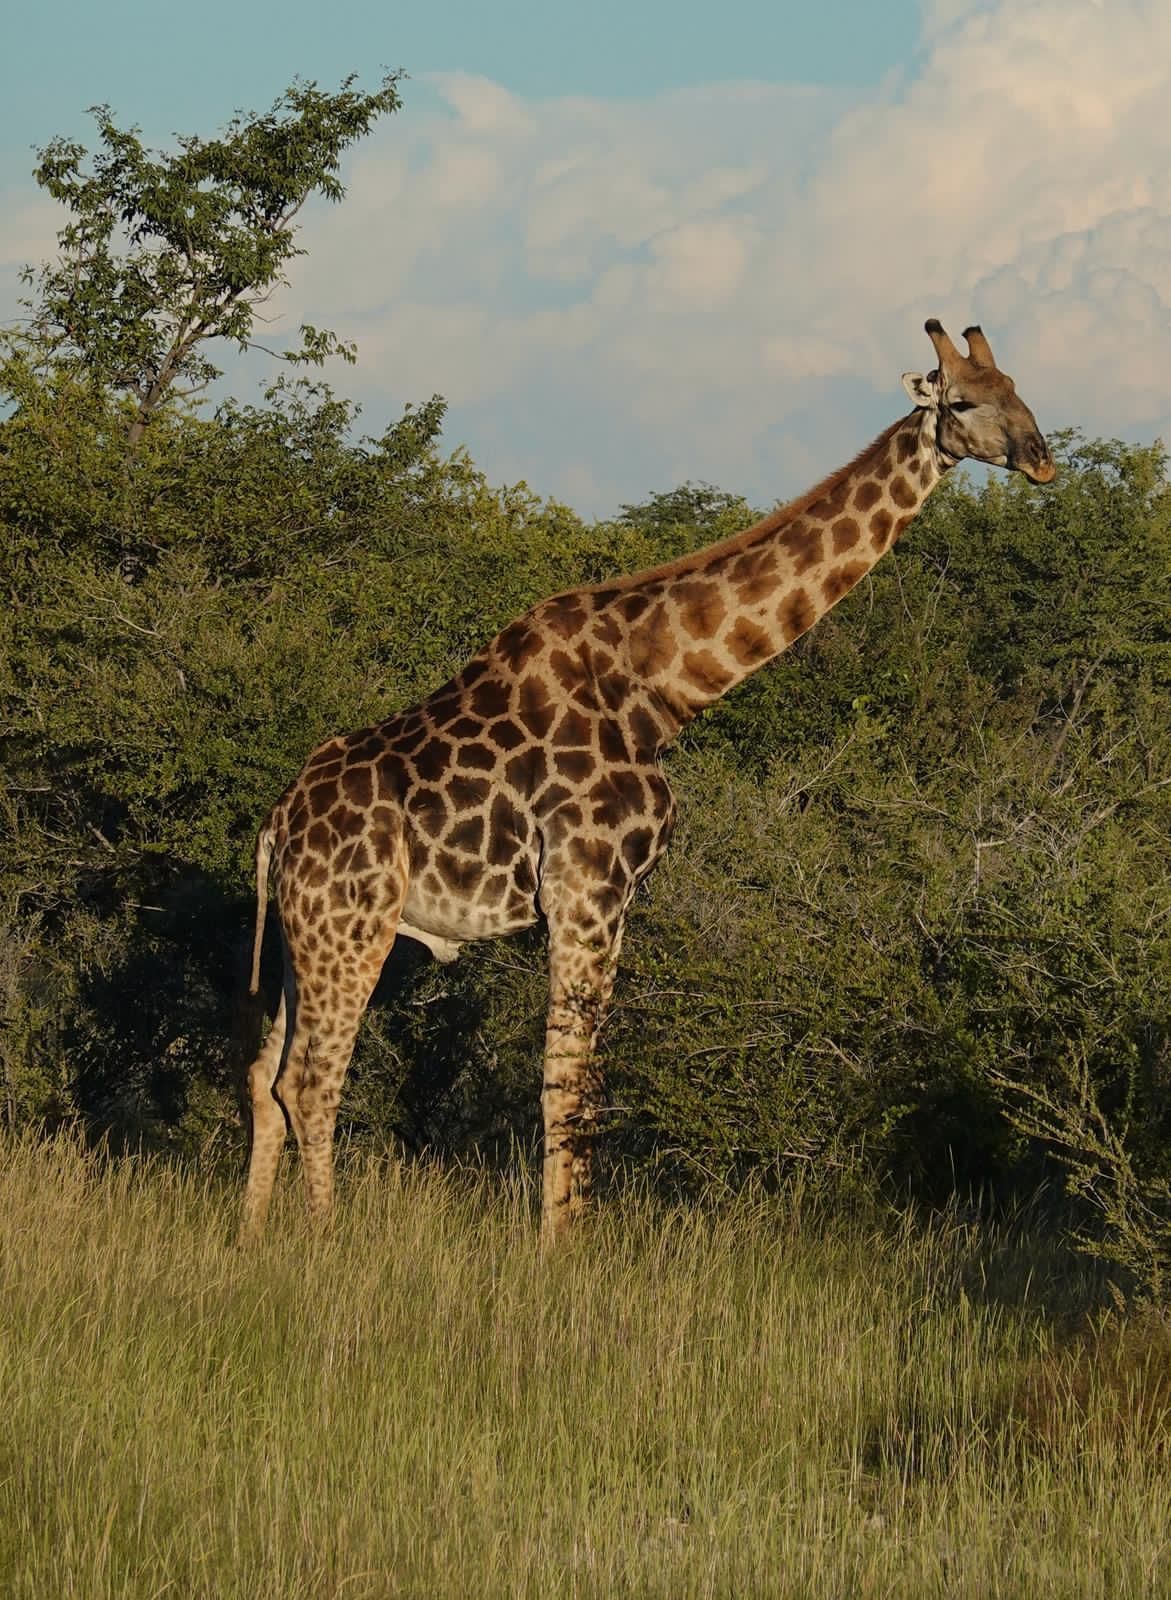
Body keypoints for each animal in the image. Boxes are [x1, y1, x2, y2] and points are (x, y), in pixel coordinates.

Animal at [239, 319, 1053, 1245]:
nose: (1040, 459)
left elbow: (581, 1083)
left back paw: (251, 1241)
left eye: (1020, 389)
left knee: (263, 1077)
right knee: (310, 1081)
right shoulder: (586, 890)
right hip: (354, 924)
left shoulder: (616, 900)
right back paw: (321, 1241)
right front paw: (560, 1251)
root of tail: (276, 825)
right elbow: (567, 1085)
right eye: (963, 403)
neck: (662, 689)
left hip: (303, 935)